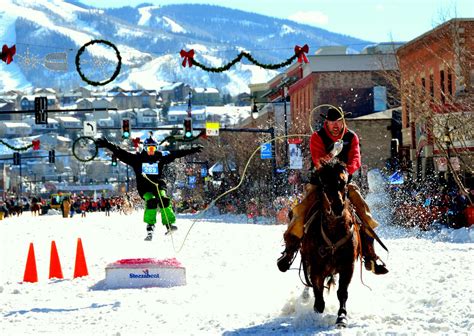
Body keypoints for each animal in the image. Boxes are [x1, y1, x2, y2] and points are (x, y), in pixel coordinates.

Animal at [300, 160, 360, 328]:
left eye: (343, 182)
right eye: (325, 184)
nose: (338, 207)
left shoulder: (348, 266)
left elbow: (342, 293)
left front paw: (342, 317)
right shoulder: (316, 268)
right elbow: (318, 296)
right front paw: (315, 314)